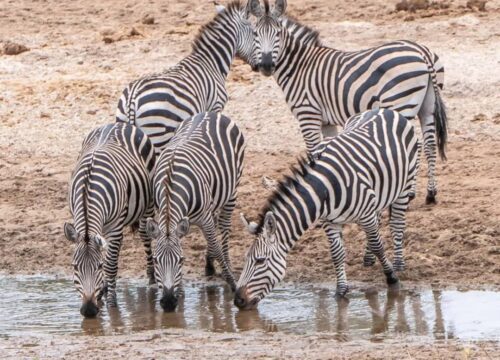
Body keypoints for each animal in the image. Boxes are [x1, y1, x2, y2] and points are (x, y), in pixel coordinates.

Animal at [63, 122, 155, 316]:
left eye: (98, 266)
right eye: (75, 267)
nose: (89, 311)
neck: (88, 191)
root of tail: (118, 123)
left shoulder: (114, 227)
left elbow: (110, 265)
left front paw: (112, 303)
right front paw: (101, 294)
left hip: (148, 203)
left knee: (146, 235)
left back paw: (151, 276)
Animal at [115, 0, 260, 153]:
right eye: (255, 33)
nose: (260, 66)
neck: (211, 62)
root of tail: (133, 97)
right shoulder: (215, 106)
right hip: (161, 133)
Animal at [145, 111, 246, 310]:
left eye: (181, 260)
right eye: (156, 260)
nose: (168, 302)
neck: (170, 184)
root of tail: (211, 113)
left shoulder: (204, 218)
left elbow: (216, 247)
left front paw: (231, 282)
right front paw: (180, 292)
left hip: (232, 190)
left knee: (224, 230)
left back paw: (224, 263)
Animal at [233, 109, 418, 310]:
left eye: (260, 261)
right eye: (245, 259)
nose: (237, 300)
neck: (324, 188)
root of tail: (385, 110)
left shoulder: (365, 214)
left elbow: (378, 245)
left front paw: (392, 277)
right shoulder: (329, 221)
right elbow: (337, 254)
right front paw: (341, 291)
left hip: (404, 185)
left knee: (397, 224)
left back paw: (398, 263)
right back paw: (368, 259)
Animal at [248, 0, 448, 204]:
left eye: (278, 33)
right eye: (255, 33)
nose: (265, 66)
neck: (299, 67)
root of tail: (422, 52)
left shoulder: (308, 114)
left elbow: (313, 151)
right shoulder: (326, 122)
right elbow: (326, 149)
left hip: (400, 103)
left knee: (411, 146)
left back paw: (408, 194)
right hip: (428, 107)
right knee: (429, 145)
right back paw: (430, 194)